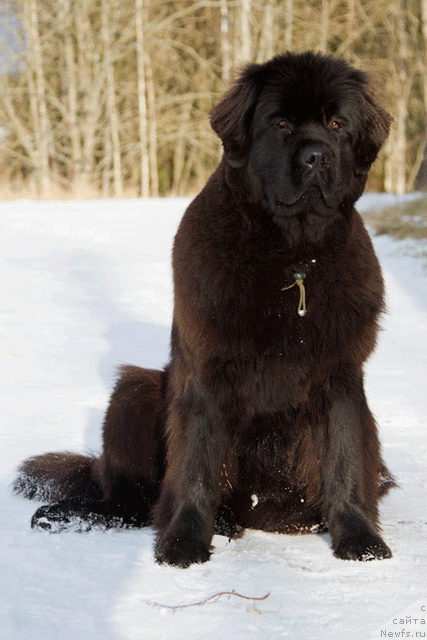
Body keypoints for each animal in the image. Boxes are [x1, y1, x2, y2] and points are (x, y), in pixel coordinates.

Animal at [16, 52, 398, 568]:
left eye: (337, 124)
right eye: (280, 123)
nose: (316, 156)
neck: (292, 257)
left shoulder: (339, 375)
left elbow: (345, 459)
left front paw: (359, 540)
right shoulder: (207, 371)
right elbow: (196, 462)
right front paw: (183, 543)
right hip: (135, 392)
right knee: (126, 497)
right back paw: (71, 514)